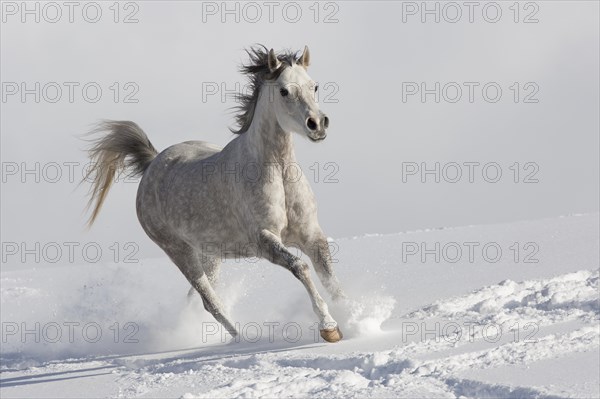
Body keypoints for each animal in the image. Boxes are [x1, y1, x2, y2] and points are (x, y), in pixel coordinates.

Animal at [86, 44, 344, 344]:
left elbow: (331, 279)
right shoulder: (264, 240)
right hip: (180, 252)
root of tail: (152, 164)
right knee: (210, 301)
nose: (317, 124)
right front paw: (329, 327)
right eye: (284, 91)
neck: (278, 172)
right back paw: (241, 340)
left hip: (210, 254)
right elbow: (300, 267)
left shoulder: (311, 235)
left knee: (195, 299)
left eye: (314, 86)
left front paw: (355, 317)